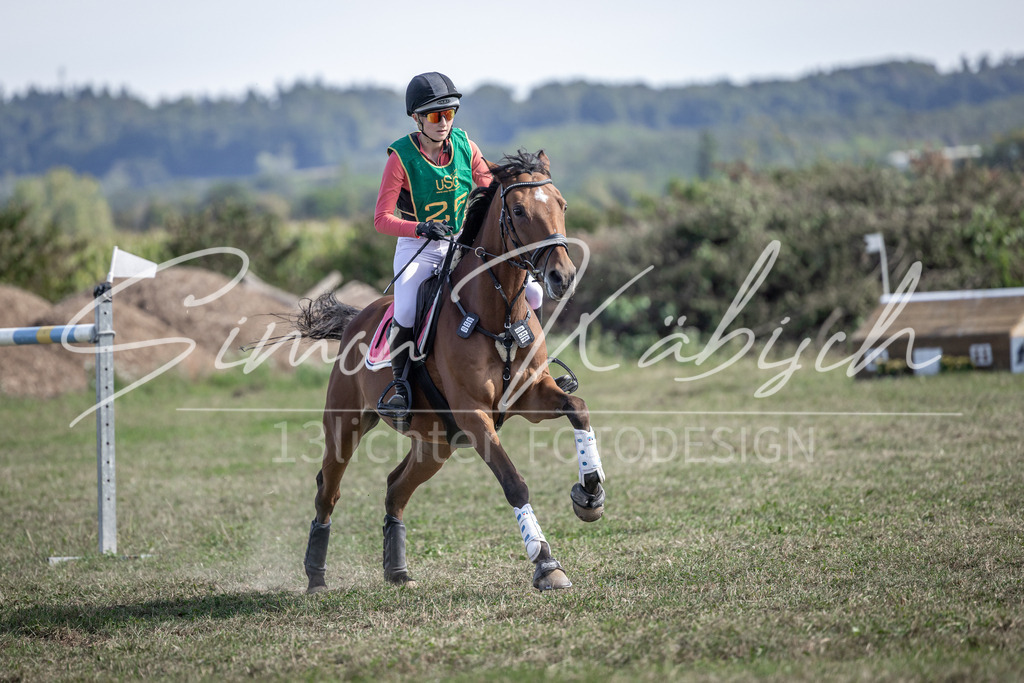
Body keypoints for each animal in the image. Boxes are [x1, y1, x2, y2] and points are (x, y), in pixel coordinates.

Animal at [295, 150, 607, 592]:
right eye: (517, 210)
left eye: (562, 205)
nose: (561, 277)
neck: (498, 317)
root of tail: (357, 318)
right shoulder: (474, 415)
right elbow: (514, 481)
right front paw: (546, 563)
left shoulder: (530, 396)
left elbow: (577, 407)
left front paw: (590, 494)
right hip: (345, 426)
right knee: (329, 490)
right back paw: (316, 578)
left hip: (436, 443)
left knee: (395, 488)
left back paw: (398, 571)